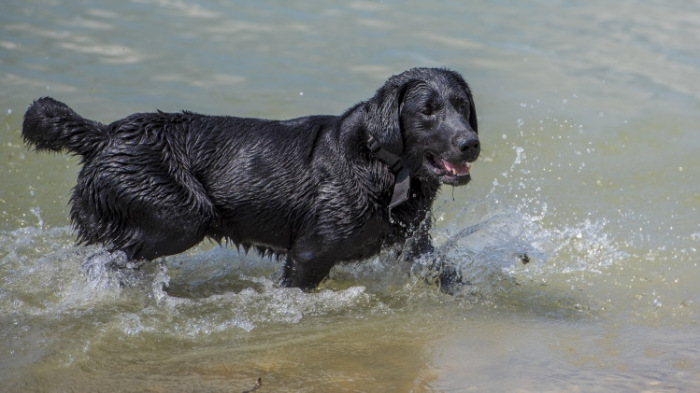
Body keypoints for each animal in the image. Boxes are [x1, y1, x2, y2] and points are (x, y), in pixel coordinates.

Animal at [23, 66, 482, 288]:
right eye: (428, 110)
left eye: (462, 105)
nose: (471, 143)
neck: (379, 166)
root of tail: (106, 133)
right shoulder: (309, 253)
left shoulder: (415, 243)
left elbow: (444, 271)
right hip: (180, 216)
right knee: (106, 257)